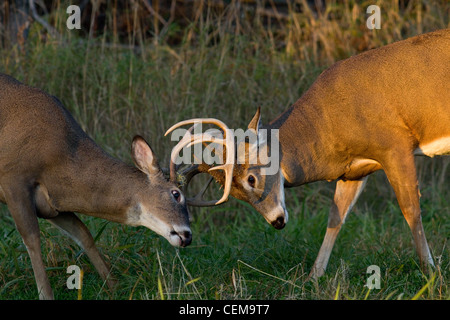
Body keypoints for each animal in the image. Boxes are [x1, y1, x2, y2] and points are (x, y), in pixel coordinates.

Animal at [0, 74, 192, 298]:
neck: (59, 155)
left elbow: (84, 234)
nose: (187, 236)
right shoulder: (13, 178)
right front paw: (45, 295)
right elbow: (31, 238)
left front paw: (114, 286)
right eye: (176, 194)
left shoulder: (52, 204)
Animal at [166, 28, 450, 278]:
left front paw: (431, 273)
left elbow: (411, 210)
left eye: (251, 178)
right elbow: (335, 219)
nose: (277, 222)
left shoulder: (395, 145)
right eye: (236, 195)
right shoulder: (354, 171)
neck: (329, 121)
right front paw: (313, 277)